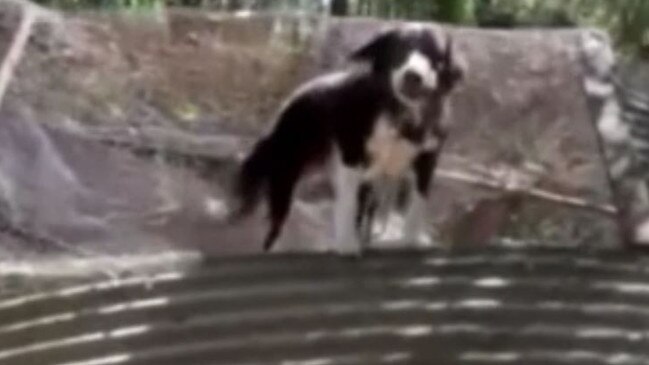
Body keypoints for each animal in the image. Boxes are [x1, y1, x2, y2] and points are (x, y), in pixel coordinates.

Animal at [230, 24, 464, 255]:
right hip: (287, 170)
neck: (401, 113)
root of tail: (292, 99)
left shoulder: (426, 159)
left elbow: (417, 203)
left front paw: (411, 240)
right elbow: (348, 205)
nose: (413, 76)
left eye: (434, 55)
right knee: (275, 226)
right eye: (399, 50)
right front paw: (347, 245)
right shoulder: (352, 157)